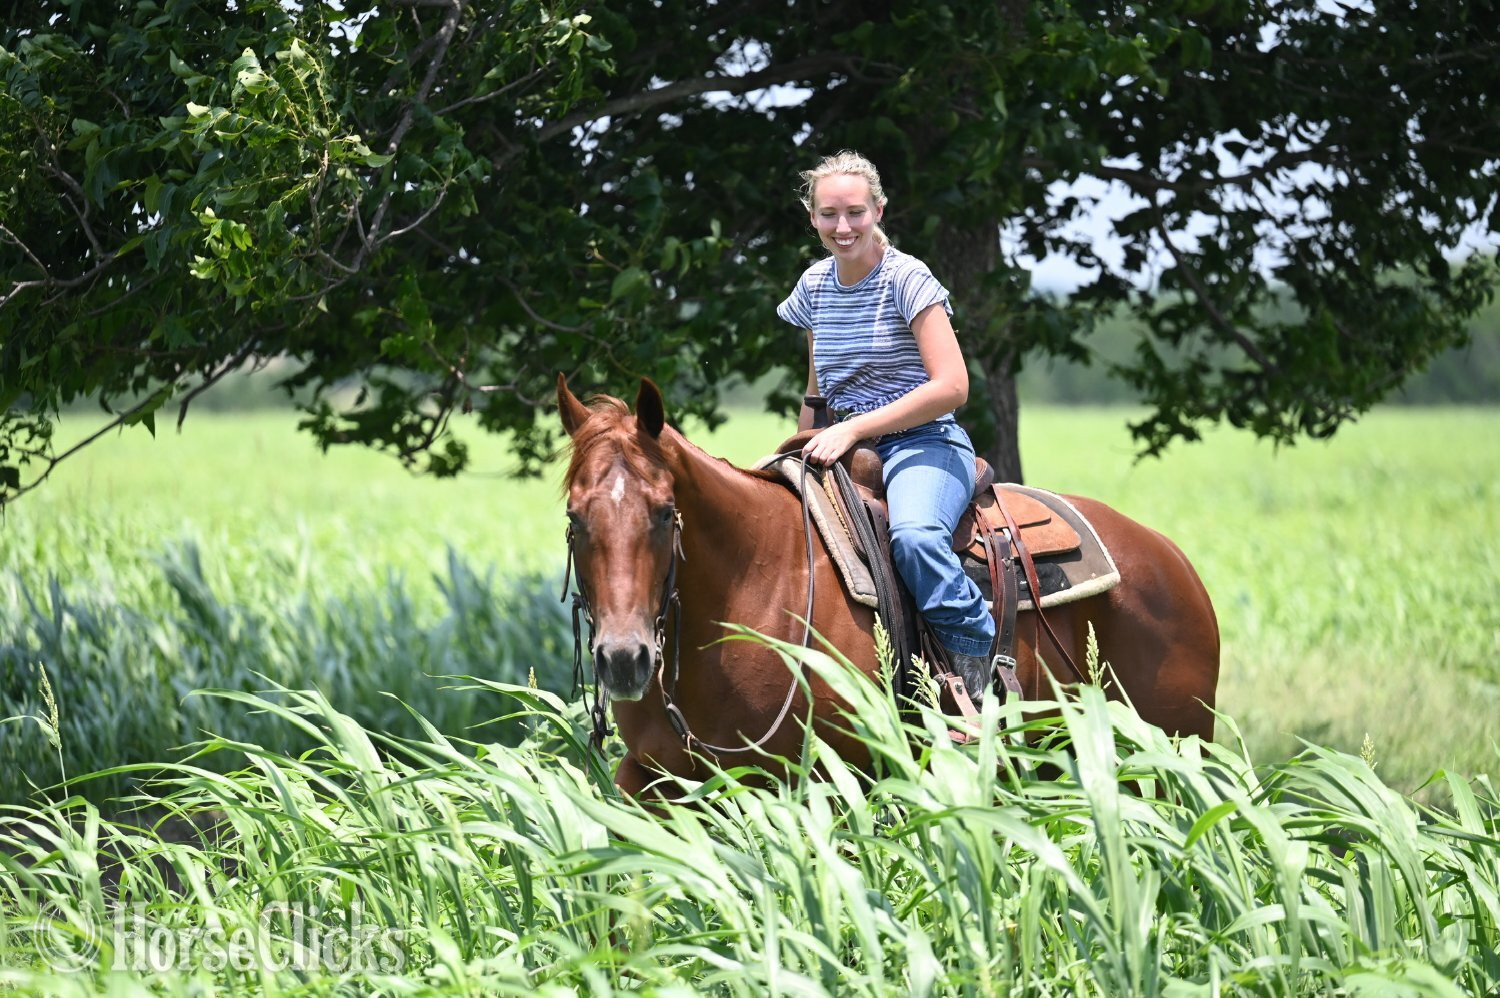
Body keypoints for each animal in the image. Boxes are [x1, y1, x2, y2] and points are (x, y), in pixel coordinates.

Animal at [557, 374, 1220, 797]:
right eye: (574, 517)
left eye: (665, 513)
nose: (623, 659)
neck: (748, 586)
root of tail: (1172, 559)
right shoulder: (652, 777)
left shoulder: (824, 781)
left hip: (1179, 748)